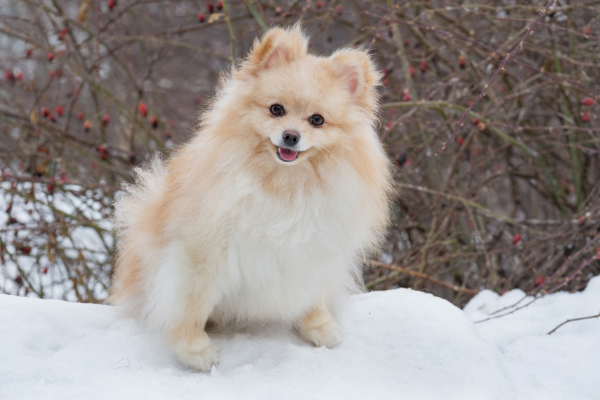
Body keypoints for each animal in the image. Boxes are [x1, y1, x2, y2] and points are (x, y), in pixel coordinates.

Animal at [111, 25, 394, 372]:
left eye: (317, 120)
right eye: (276, 110)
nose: (290, 135)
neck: (284, 183)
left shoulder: (314, 250)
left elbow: (312, 293)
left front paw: (318, 325)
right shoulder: (202, 253)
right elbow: (190, 304)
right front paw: (194, 350)